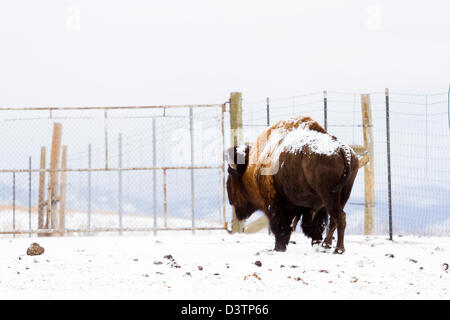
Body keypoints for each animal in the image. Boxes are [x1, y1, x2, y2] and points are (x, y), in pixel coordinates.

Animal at [227, 116, 360, 254]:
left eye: (230, 173)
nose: (231, 199)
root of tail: (342, 149)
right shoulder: (311, 207)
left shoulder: (276, 205)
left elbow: (281, 226)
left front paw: (279, 247)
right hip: (343, 194)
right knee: (335, 219)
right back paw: (326, 245)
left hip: (329, 196)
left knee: (340, 217)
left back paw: (338, 249)